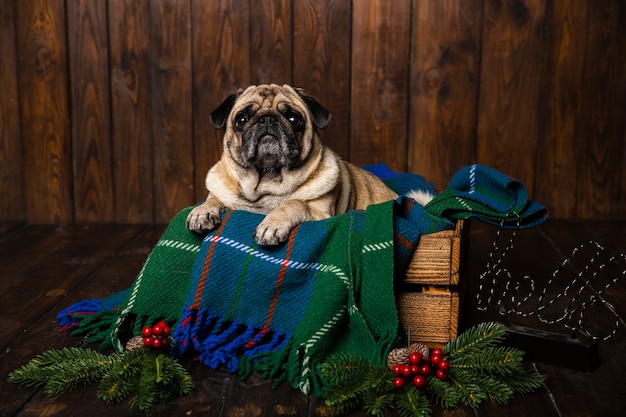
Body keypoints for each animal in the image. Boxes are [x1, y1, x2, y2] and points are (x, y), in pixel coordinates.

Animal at [185, 83, 428, 244]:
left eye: (294, 119)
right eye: (242, 119)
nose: (267, 119)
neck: (267, 182)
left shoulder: (322, 216)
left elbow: (294, 203)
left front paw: (272, 224)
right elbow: (214, 197)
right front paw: (202, 211)